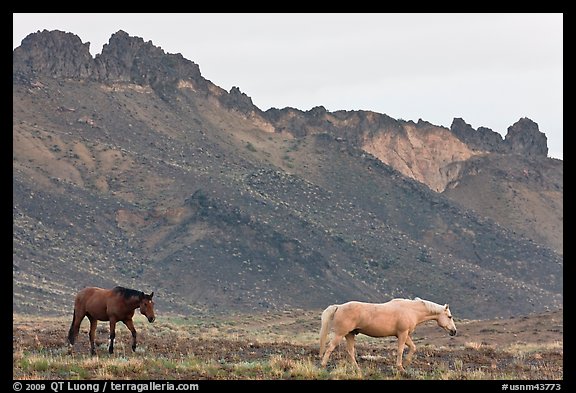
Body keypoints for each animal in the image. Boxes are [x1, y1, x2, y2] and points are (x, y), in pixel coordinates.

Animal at [320, 296, 454, 372]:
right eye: (449, 316)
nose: (454, 331)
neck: (411, 310)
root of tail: (338, 307)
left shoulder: (404, 335)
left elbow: (413, 347)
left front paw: (406, 363)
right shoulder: (402, 334)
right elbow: (400, 350)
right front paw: (400, 368)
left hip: (350, 334)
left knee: (350, 351)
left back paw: (357, 369)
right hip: (340, 334)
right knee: (330, 347)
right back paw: (322, 365)